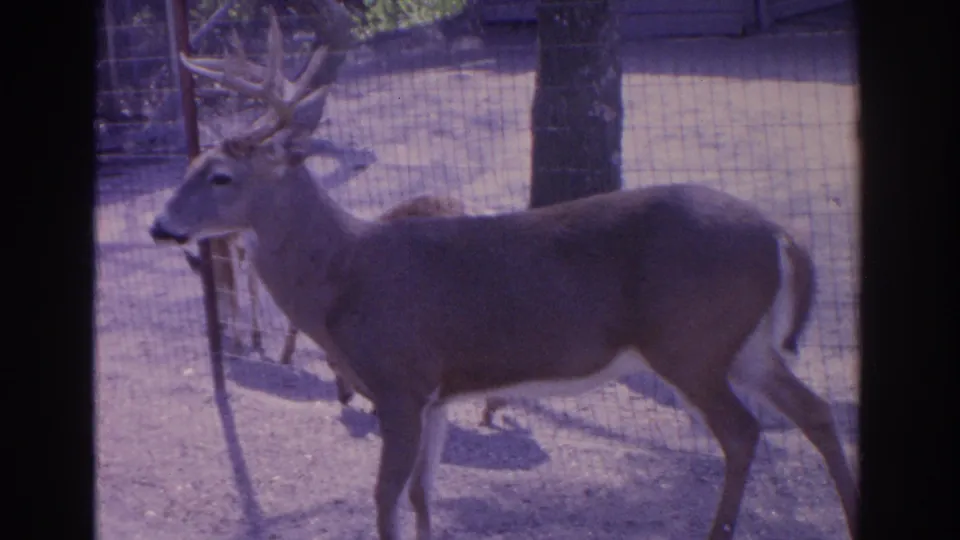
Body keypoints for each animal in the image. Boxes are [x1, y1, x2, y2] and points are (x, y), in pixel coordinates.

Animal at [148, 7, 858, 540]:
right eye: (190, 162)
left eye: (221, 176)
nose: (159, 225)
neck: (344, 278)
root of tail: (780, 234)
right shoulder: (436, 394)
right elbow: (423, 496)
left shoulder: (399, 380)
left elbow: (384, 500)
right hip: (745, 342)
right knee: (815, 411)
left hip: (690, 340)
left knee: (743, 432)